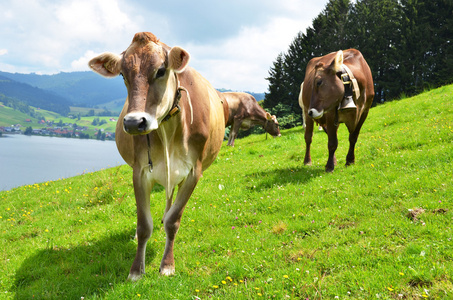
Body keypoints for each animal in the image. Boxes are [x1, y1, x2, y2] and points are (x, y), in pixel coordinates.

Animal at [88, 32, 224, 278]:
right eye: (122, 74)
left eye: (161, 70)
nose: (134, 122)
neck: (168, 130)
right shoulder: (140, 171)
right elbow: (143, 225)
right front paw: (136, 270)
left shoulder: (194, 172)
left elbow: (173, 221)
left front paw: (167, 264)